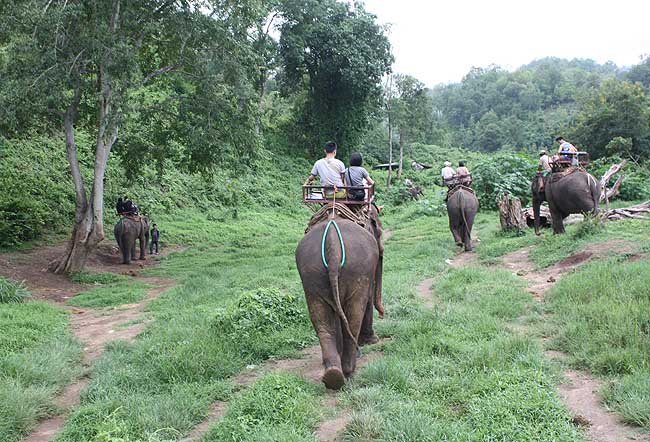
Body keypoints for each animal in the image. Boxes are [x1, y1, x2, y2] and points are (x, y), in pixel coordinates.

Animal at [294, 205, 382, 388]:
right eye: (379, 230)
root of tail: (332, 241)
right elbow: (368, 299)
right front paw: (371, 341)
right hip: (357, 269)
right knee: (355, 314)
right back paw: (348, 371)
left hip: (311, 273)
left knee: (321, 320)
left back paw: (334, 375)